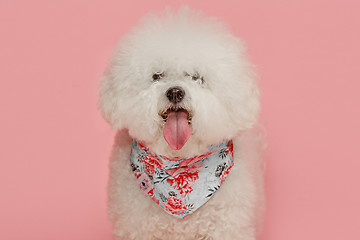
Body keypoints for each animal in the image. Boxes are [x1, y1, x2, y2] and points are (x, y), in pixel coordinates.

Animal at [98, 7, 264, 240]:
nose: (175, 92)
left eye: (196, 77)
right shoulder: (136, 226)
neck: (179, 162)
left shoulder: (226, 226)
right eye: (157, 75)